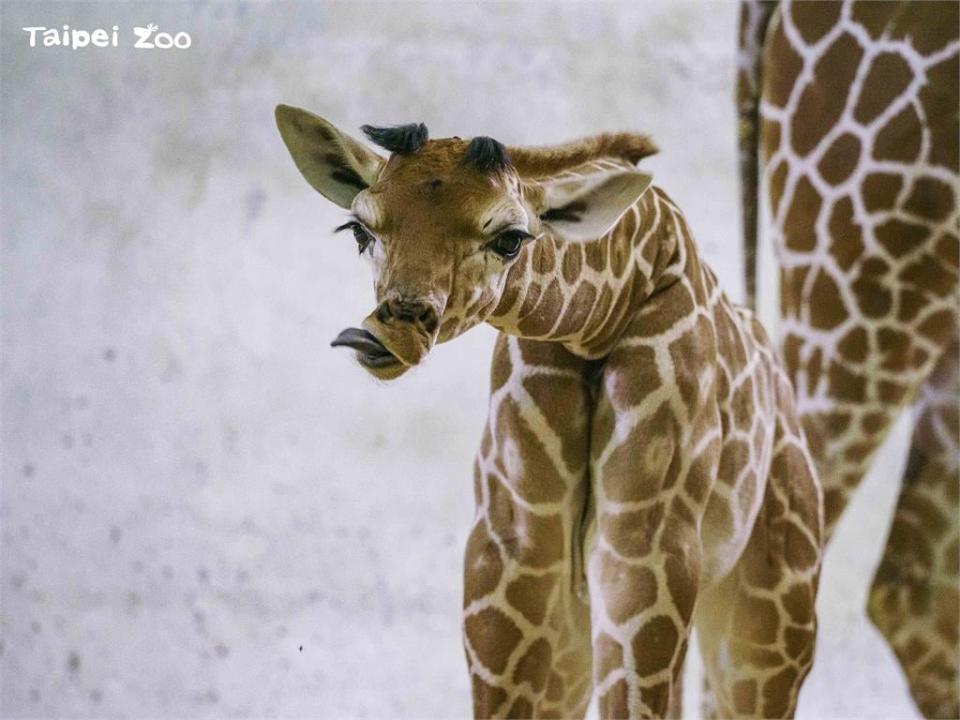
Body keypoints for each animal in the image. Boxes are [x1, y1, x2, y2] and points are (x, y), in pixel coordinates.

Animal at [274, 104, 820, 716]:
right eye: (359, 229)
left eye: (510, 239)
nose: (384, 335)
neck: (602, 315)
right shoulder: (514, 553)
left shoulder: (646, 546)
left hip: (769, 620)